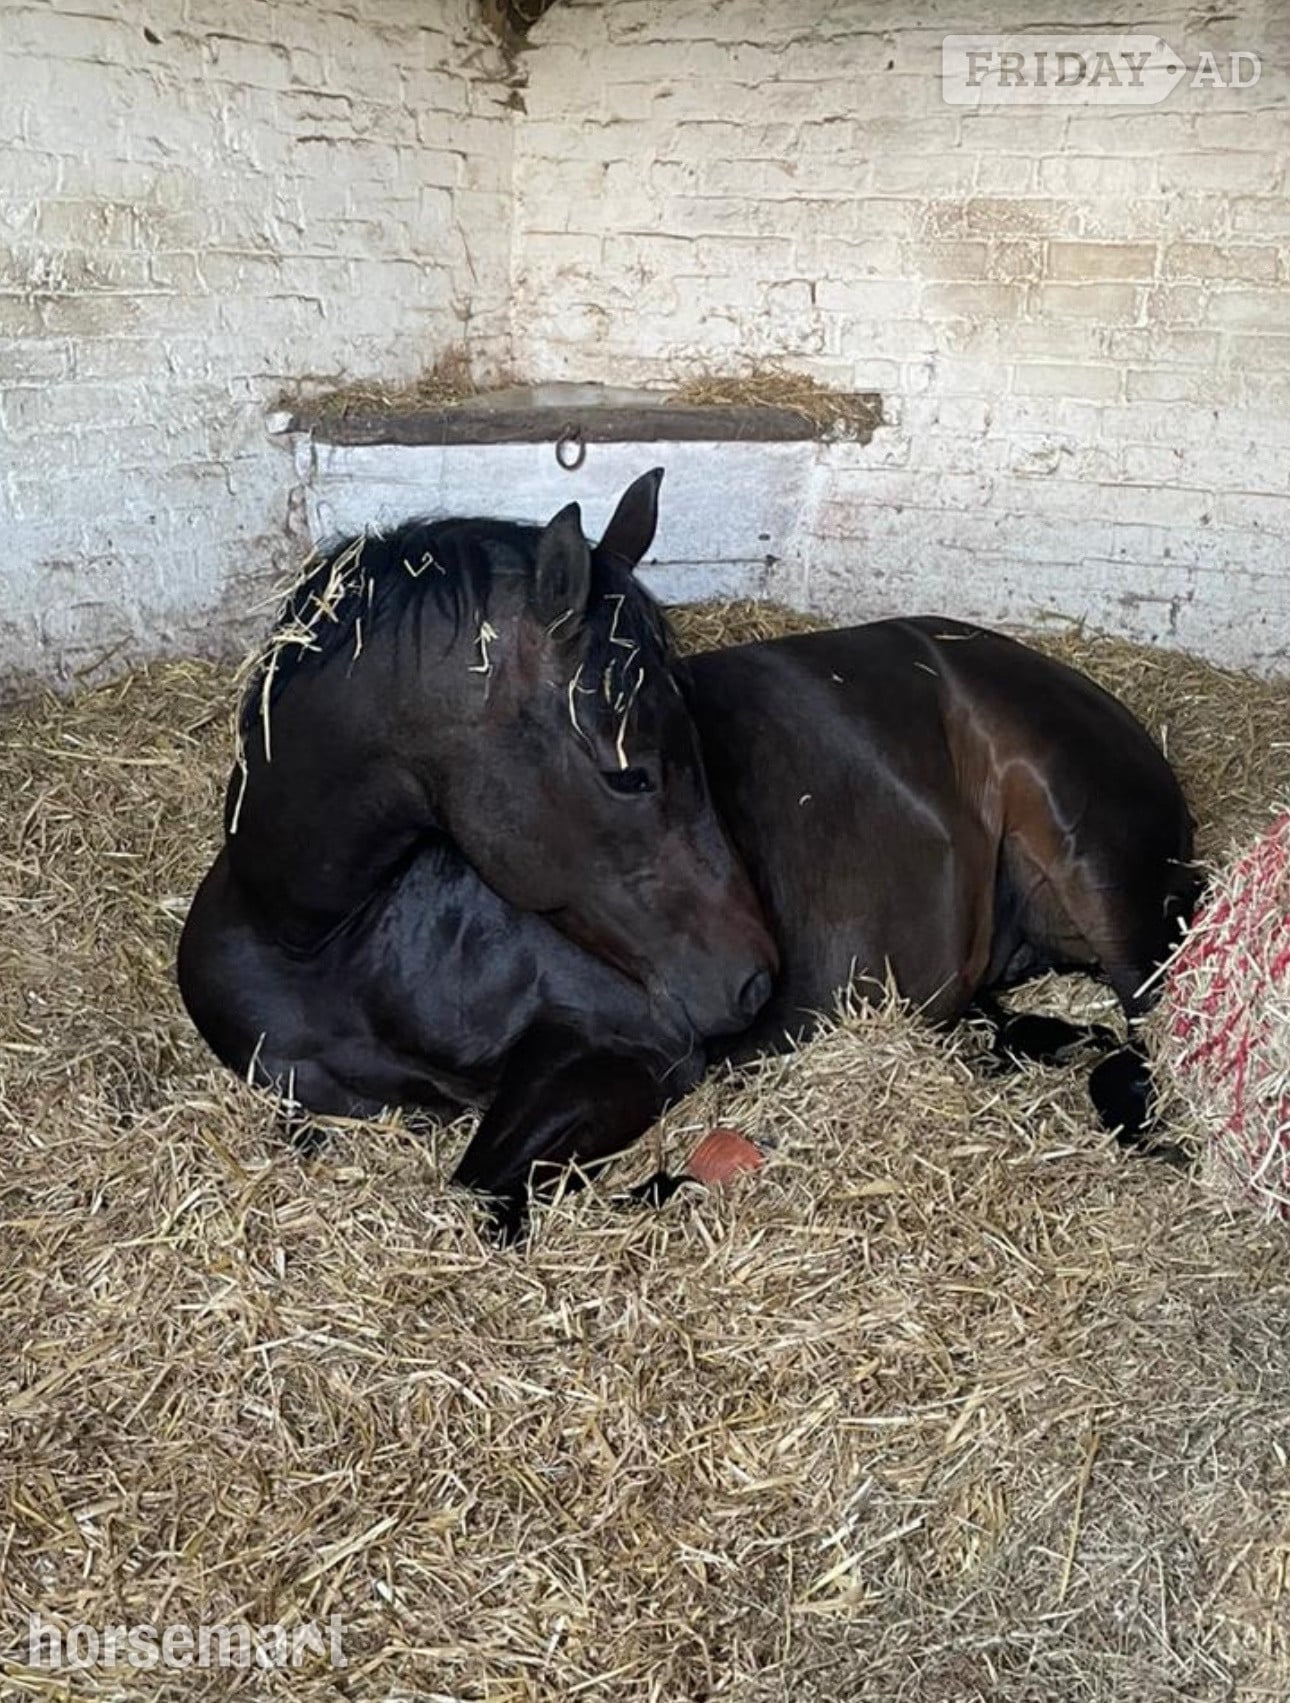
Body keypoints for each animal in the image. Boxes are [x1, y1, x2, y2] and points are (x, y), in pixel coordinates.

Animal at [178, 470, 1199, 1229]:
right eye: (629, 773)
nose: (752, 981)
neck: (323, 940)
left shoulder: (629, 1055)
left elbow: (486, 1189)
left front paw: (676, 1183)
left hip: (1110, 887)